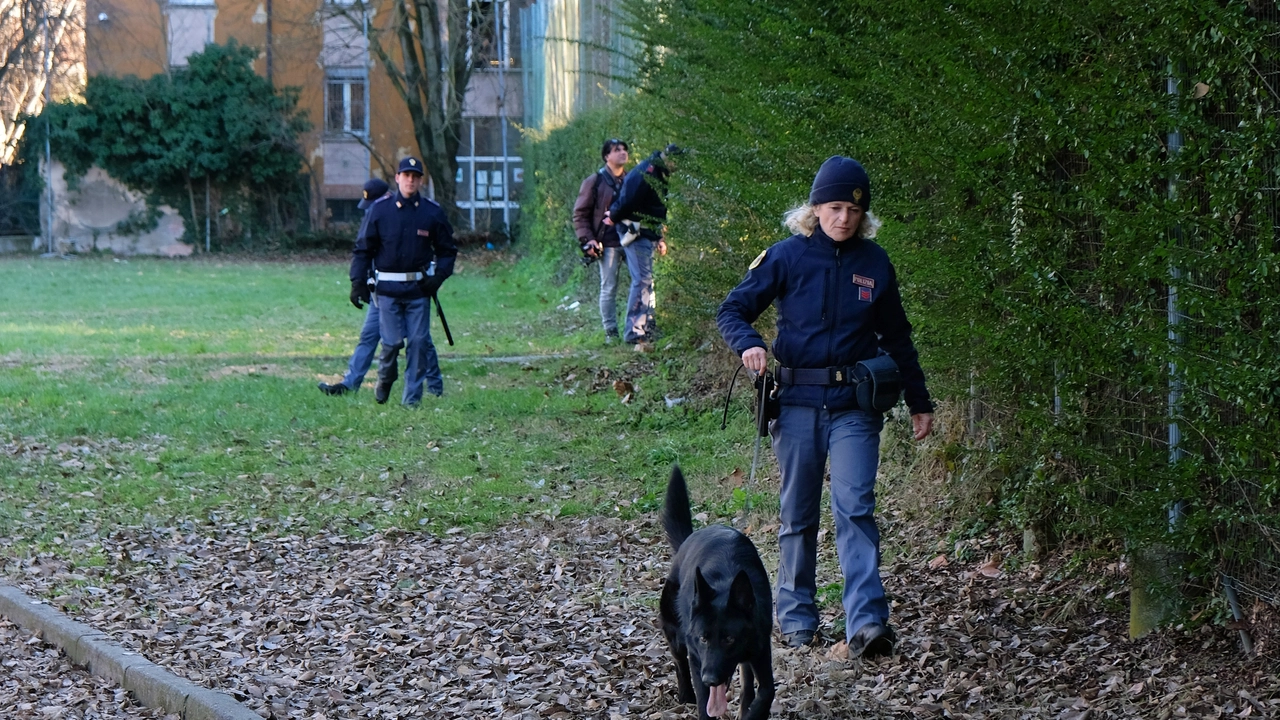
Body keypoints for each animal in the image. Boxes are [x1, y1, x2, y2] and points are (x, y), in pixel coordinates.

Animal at [665, 461, 773, 712]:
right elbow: (704, 703)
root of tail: (689, 539)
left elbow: (764, 695)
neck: (727, 582)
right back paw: (685, 693)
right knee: (679, 660)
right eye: (703, 639)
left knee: (746, 682)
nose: (710, 679)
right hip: (675, 634)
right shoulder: (698, 660)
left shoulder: (761, 650)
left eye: (729, 639)